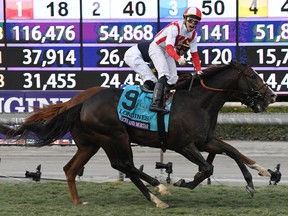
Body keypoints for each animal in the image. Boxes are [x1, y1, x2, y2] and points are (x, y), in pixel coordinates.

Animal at [0, 62, 276, 208]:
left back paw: (80, 202)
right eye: (253, 76)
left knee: (73, 168)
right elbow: (209, 168)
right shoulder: (183, 145)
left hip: (91, 143)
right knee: (124, 164)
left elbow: (232, 151)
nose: (271, 96)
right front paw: (183, 182)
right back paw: (158, 191)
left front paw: (253, 181)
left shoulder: (205, 140)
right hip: (115, 136)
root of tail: (79, 103)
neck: (197, 102)